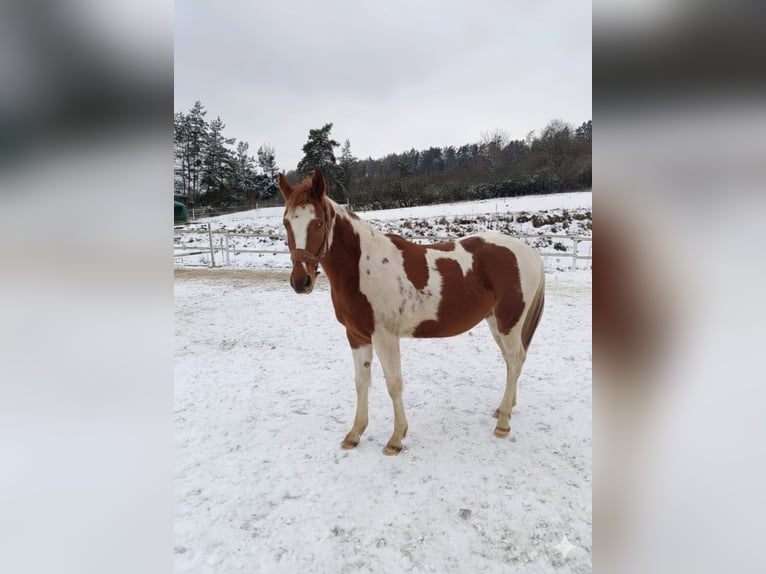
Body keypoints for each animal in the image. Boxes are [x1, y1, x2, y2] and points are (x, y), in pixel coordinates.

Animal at [278, 170, 545, 455]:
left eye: (318, 223)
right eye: (286, 223)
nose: (301, 281)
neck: (362, 267)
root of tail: (529, 252)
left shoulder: (384, 337)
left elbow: (394, 384)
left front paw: (396, 439)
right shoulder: (357, 335)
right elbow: (361, 382)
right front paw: (354, 434)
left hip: (509, 322)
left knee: (515, 361)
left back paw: (503, 422)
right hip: (496, 323)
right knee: (512, 361)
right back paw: (503, 409)